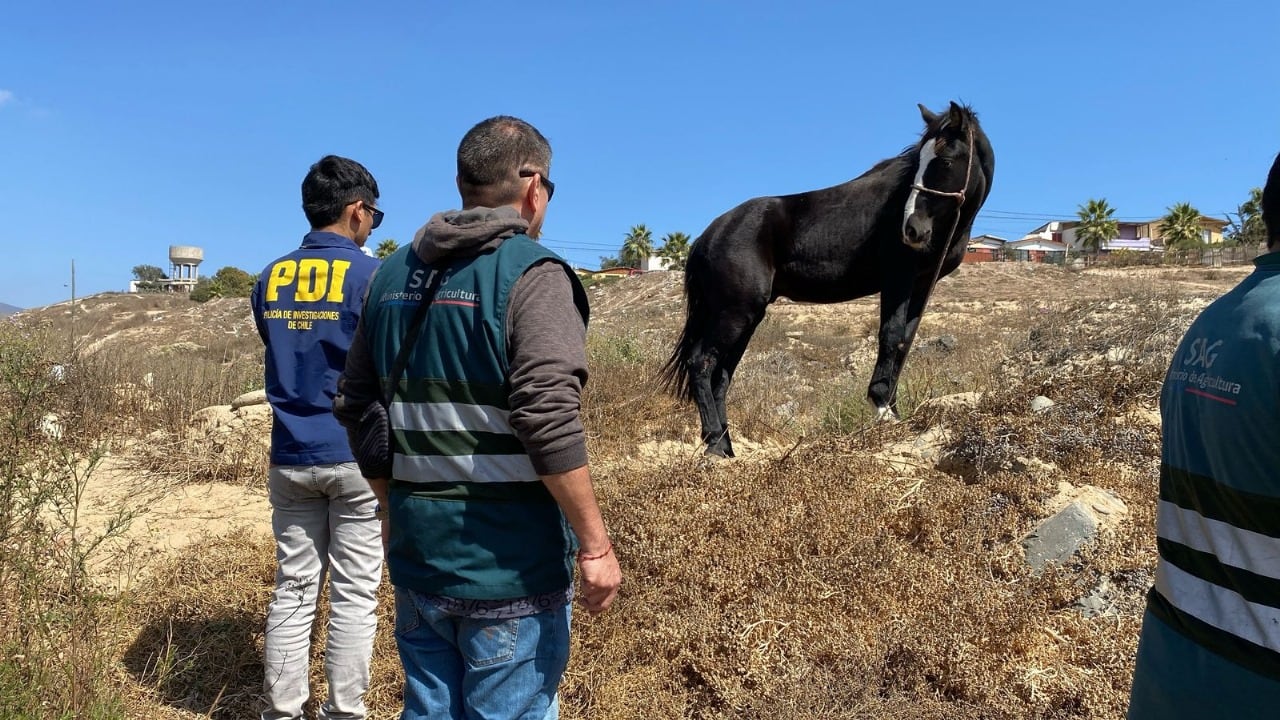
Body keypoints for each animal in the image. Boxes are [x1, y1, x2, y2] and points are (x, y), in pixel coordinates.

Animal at [662, 101, 994, 458]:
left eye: (945, 160)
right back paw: (713, 441)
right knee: (701, 363)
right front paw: (882, 409)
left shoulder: (921, 286)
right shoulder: (898, 280)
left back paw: (726, 447)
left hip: (744, 317)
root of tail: (706, 237)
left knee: (721, 377)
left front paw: (893, 409)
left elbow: (903, 342)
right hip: (735, 313)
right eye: (918, 161)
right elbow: (890, 336)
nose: (911, 229)